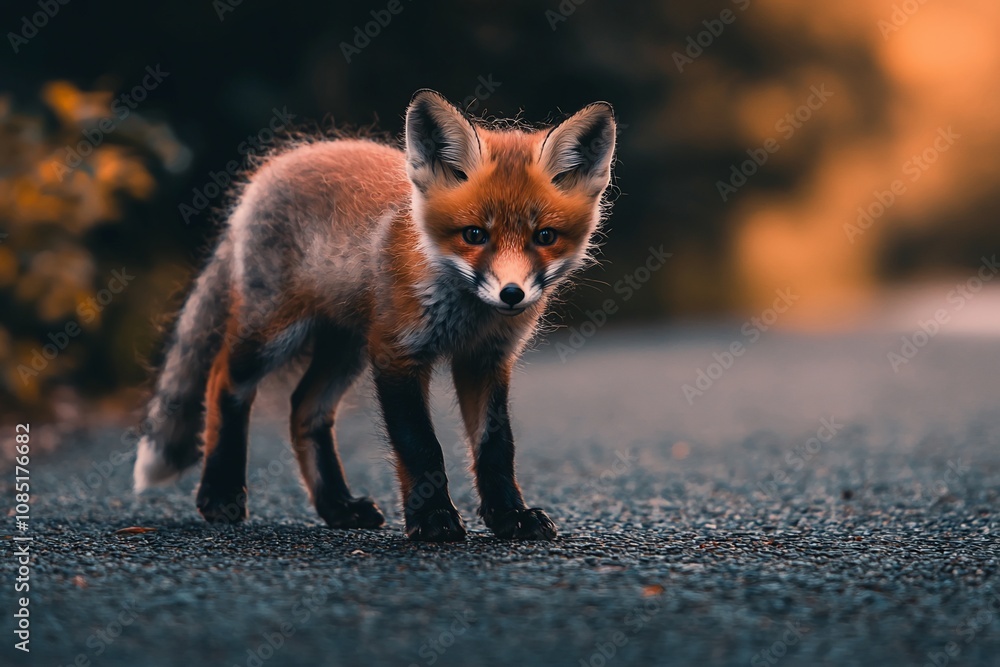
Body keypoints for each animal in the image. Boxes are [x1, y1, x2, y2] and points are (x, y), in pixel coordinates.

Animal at [133, 89, 617, 541]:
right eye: (474, 234)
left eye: (545, 236)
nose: (512, 295)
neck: (465, 313)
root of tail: (271, 169)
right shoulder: (397, 352)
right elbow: (421, 445)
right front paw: (432, 519)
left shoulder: (486, 360)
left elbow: (496, 447)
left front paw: (510, 515)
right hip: (274, 334)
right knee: (222, 382)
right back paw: (221, 493)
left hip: (346, 348)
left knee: (303, 408)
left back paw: (337, 507)